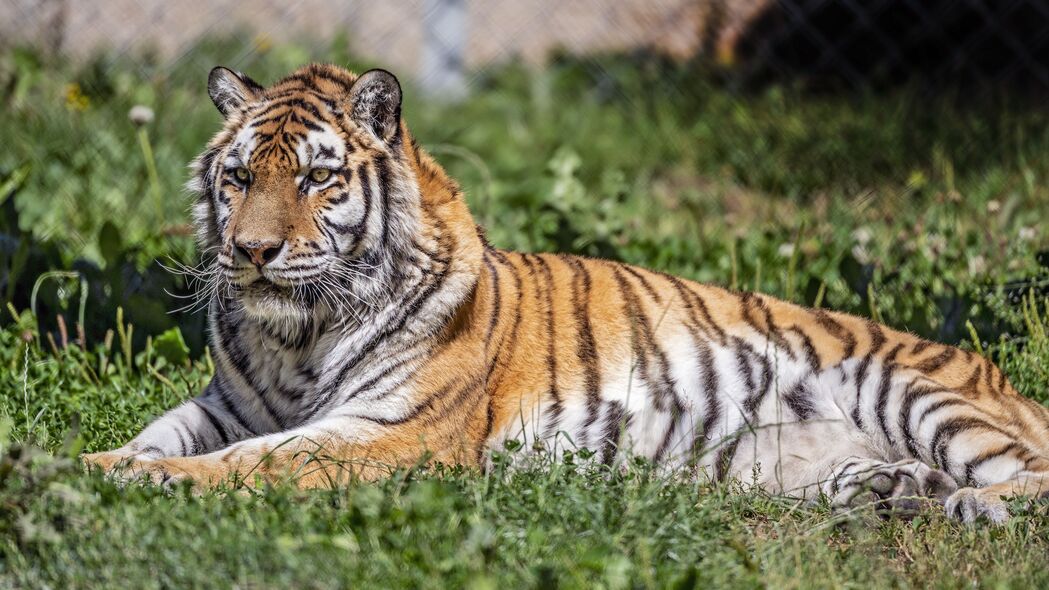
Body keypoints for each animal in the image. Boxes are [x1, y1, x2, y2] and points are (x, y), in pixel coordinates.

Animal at [83, 64, 1049, 520]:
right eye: (240, 177)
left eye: (318, 179)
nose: (251, 251)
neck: (295, 336)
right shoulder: (228, 405)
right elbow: (157, 437)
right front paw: (88, 467)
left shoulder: (391, 433)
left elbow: (252, 463)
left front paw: (154, 483)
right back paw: (895, 492)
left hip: (915, 390)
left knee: (1028, 474)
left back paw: (965, 505)